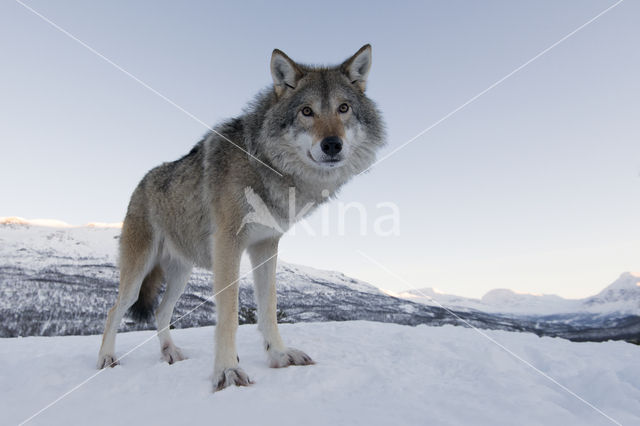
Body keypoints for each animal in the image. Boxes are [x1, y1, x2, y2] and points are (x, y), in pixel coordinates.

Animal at [95, 45, 384, 392]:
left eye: (344, 108)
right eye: (306, 111)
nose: (332, 145)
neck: (264, 164)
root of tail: (142, 182)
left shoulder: (266, 246)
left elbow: (268, 309)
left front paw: (280, 355)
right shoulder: (229, 245)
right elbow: (229, 316)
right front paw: (227, 371)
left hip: (181, 273)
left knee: (161, 313)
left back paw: (170, 353)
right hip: (138, 273)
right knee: (114, 310)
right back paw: (106, 359)